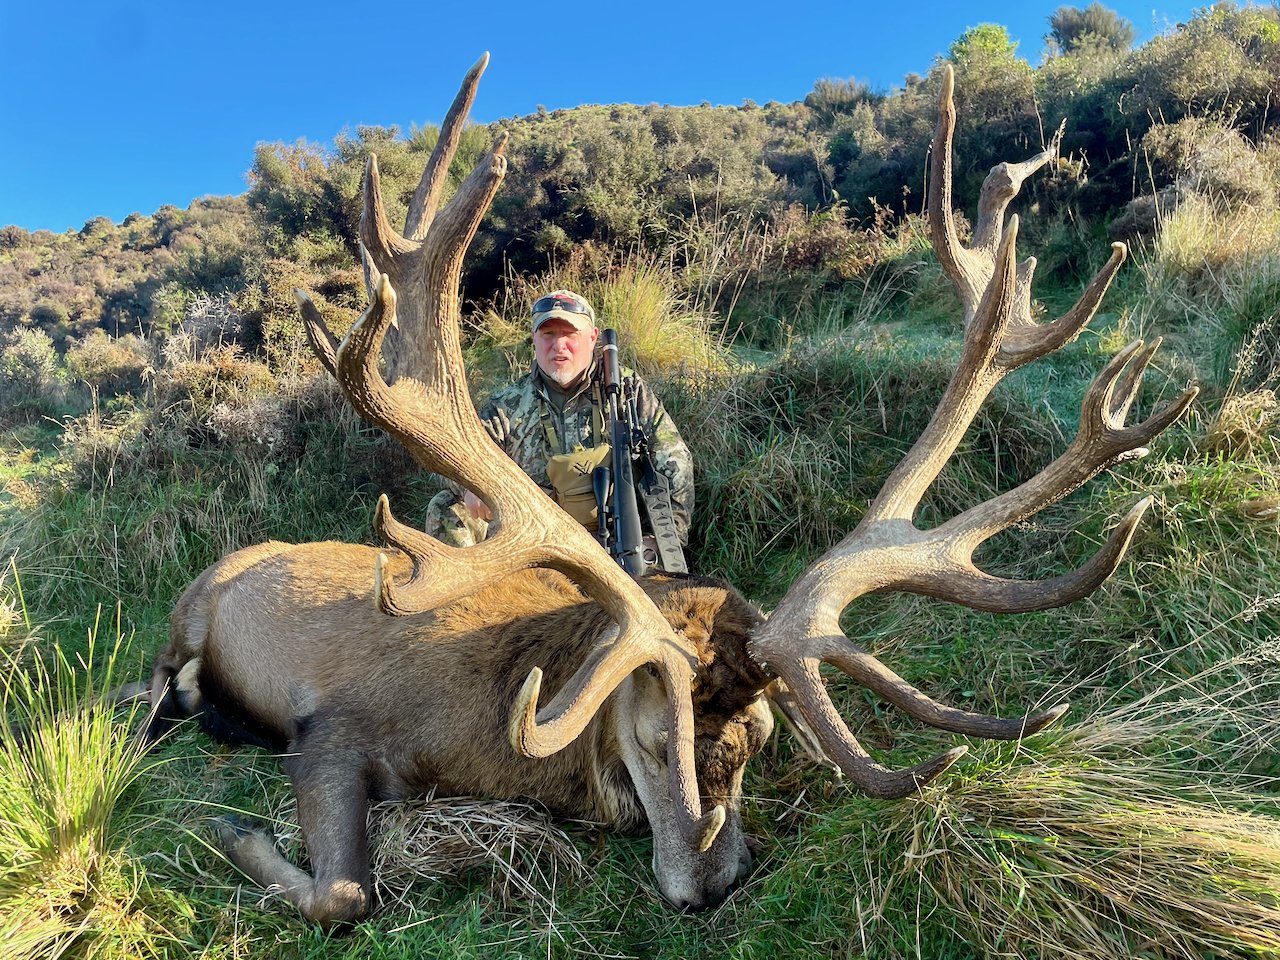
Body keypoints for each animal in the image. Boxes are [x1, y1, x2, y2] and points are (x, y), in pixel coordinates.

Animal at [139, 55, 1196, 929]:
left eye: (760, 741)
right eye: (651, 742)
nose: (713, 881)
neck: (497, 725)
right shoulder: (334, 725)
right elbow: (345, 893)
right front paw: (237, 831)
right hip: (190, 607)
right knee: (160, 679)